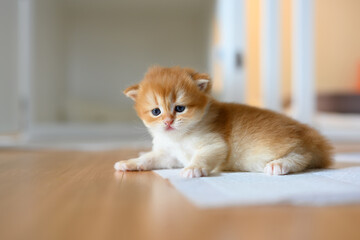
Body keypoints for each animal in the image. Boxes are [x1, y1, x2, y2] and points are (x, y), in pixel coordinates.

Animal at [114, 66, 334, 177]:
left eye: (180, 108)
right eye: (156, 111)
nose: (168, 122)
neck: (179, 137)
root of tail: (314, 137)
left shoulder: (214, 144)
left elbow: (202, 157)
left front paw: (194, 169)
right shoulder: (169, 155)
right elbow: (149, 158)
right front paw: (130, 162)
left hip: (294, 146)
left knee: (302, 157)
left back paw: (279, 165)